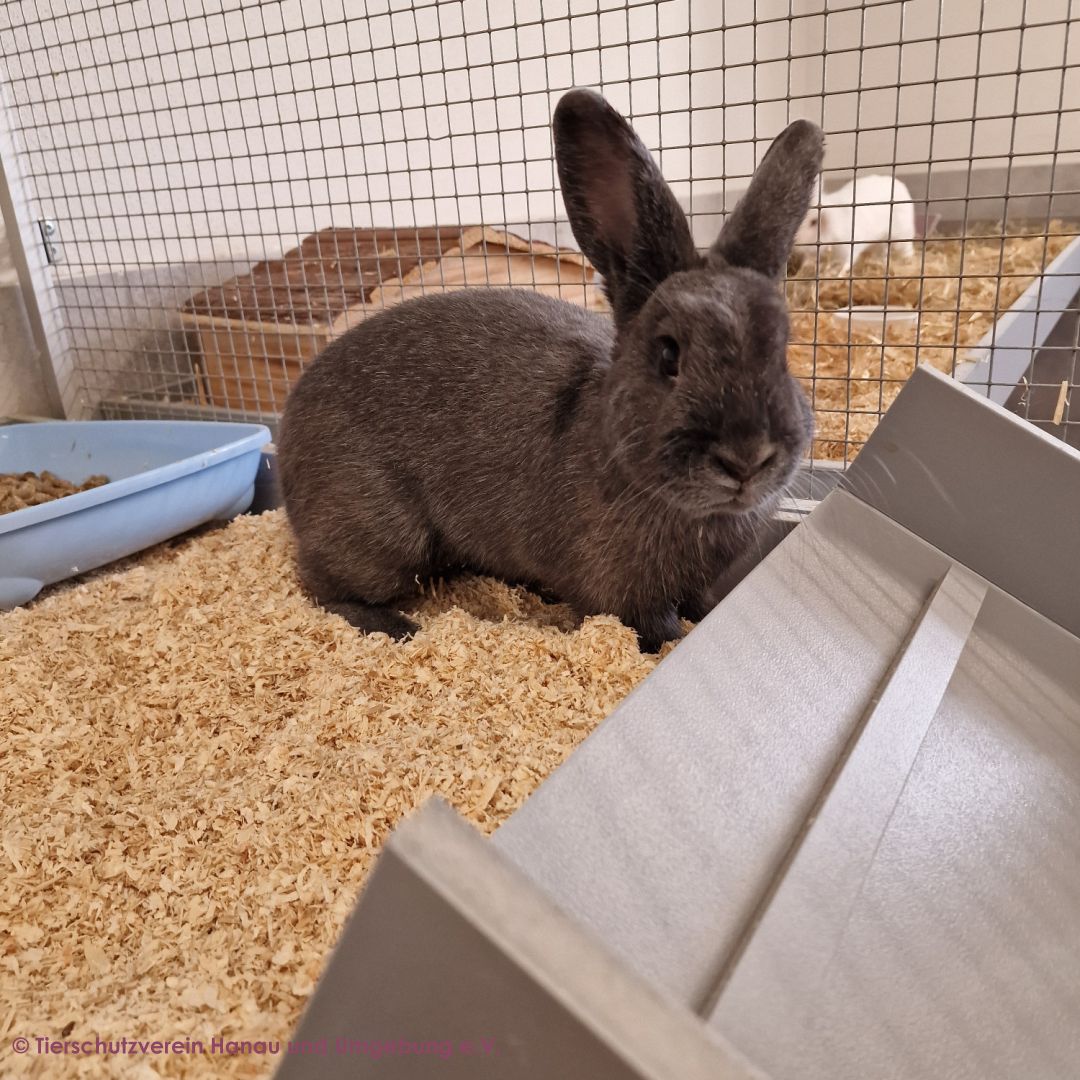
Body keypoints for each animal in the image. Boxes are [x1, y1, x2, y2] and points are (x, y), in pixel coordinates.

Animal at [276, 89, 823, 653]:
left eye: (783, 349)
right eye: (668, 354)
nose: (747, 458)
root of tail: (287, 431)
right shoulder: (627, 597)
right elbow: (657, 629)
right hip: (382, 536)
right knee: (322, 587)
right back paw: (399, 627)